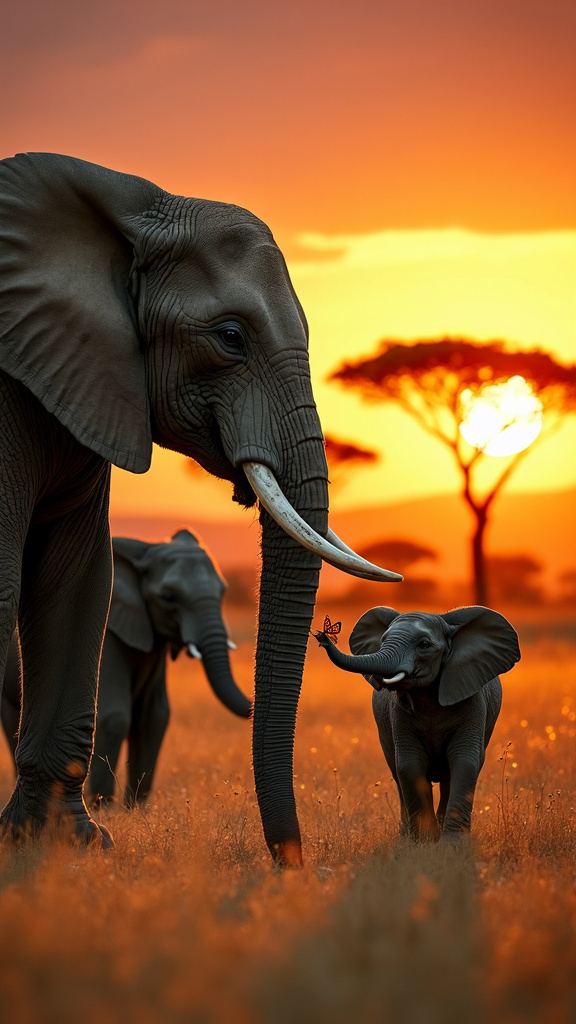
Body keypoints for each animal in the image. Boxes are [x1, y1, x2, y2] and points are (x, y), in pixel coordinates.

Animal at [90, 528, 250, 806]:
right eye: (169, 598)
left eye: (223, 592)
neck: (144, 550)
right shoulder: (107, 634)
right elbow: (113, 716)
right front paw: (100, 808)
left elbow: (154, 718)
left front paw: (135, 810)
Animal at [313, 606, 520, 839]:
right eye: (383, 641)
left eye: (423, 645)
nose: (321, 637)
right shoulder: (398, 711)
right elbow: (409, 764)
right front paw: (425, 841)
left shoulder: (474, 701)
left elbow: (465, 761)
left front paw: (452, 844)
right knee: (397, 772)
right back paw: (407, 833)